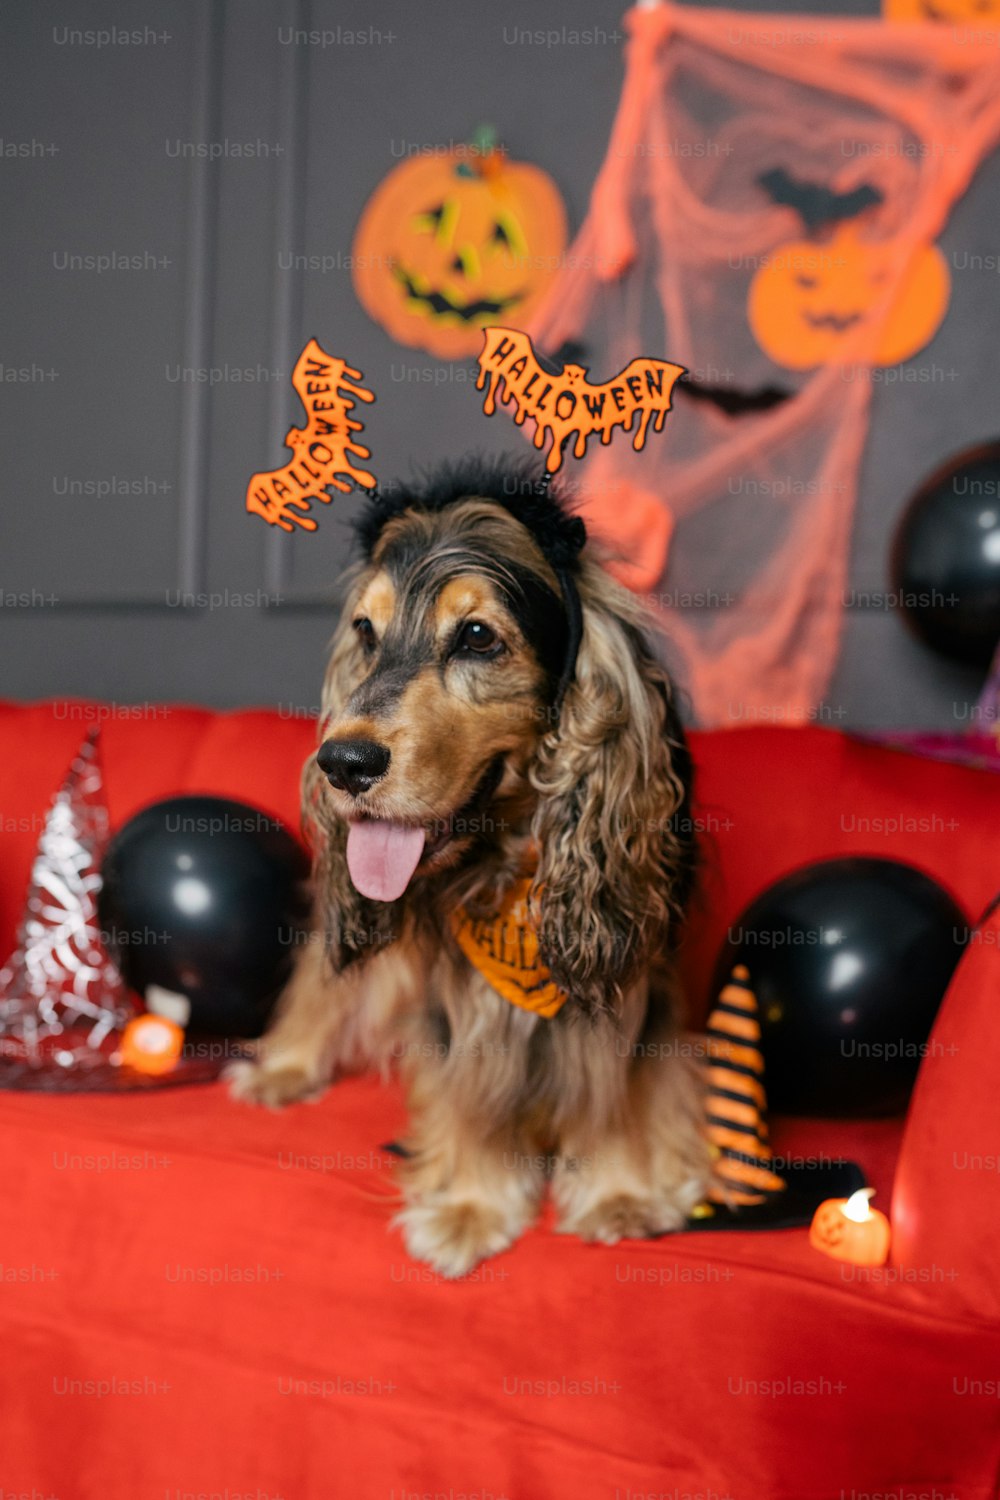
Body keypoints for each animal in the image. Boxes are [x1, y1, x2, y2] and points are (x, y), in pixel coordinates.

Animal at [229, 459, 710, 1278]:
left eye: (478, 637)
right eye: (365, 632)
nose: (341, 762)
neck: (514, 865)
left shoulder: (634, 966)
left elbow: (618, 1082)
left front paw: (620, 1193)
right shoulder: (457, 991)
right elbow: (469, 1083)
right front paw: (470, 1206)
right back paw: (283, 1067)